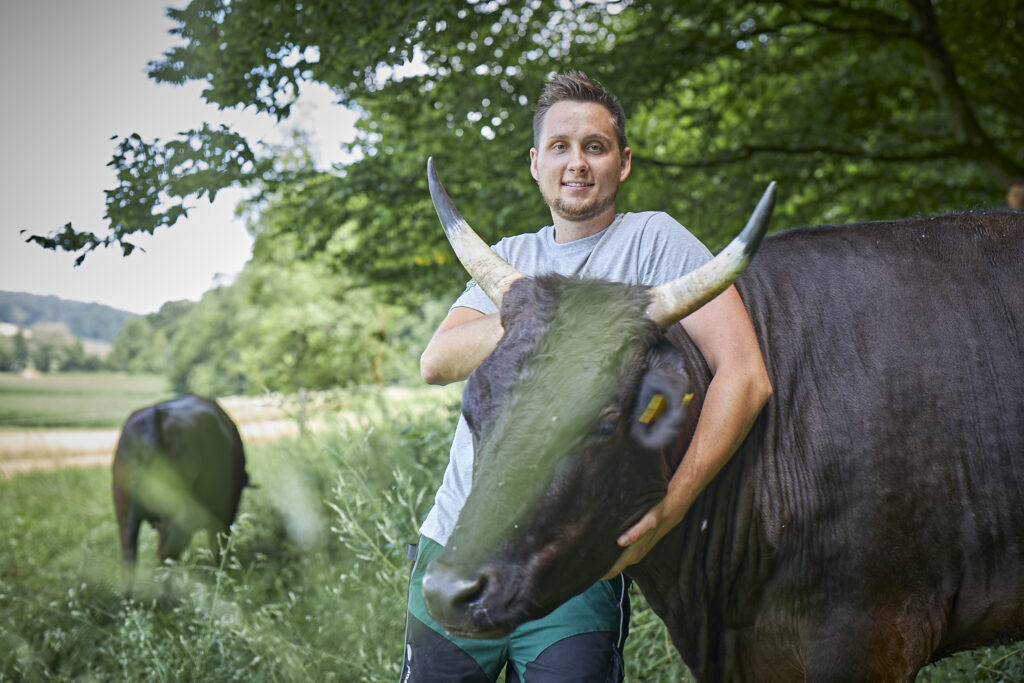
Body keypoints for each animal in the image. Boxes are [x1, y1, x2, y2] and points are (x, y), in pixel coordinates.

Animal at [112, 393, 249, 589]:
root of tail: (155, 416)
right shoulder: (224, 515)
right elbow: (217, 549)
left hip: (125, 515)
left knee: (130, 562)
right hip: (181, 520)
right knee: (167, 555)